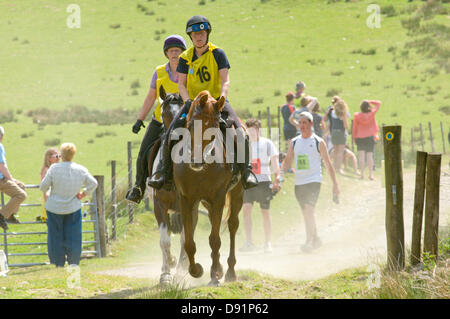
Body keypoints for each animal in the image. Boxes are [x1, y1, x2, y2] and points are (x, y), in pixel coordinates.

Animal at [172, 90, 244, 288]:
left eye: (215, 127)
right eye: (191, 125)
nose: (196, 160)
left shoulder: (219, 197)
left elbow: (214, 239)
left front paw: (213, 276)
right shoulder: (186, 199)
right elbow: (188, 241)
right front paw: (196, 270)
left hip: (237, 193)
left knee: (232, 225)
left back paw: (229, 271)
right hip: (206, 202)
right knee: (213, 221)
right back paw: (219, 268)